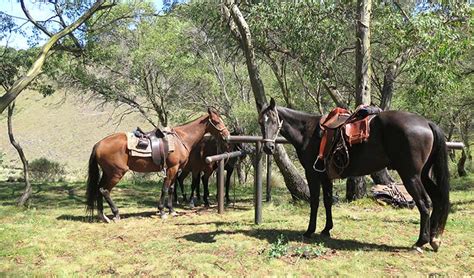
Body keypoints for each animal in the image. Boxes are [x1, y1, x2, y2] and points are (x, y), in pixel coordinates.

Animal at [88, 108, 231, 222]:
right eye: (217, 122)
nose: (227, 135)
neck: (180, 139)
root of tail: (98, 144)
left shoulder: (176, 169)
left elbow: (172, 189)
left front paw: (172, 210)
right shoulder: (172, 168)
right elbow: (165, 189)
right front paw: (162, 211)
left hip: (108, 173)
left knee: (98, 189)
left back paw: (103, 216)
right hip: (116, 173)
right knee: (104, 190)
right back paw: (116, 214)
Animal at [262, 97, 450, 252]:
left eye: (274, 120)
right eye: (260, 121)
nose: (268, 147)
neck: (308, 131)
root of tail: (426, 123)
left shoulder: (312, 174)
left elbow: (315, 202)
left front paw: (310, 230)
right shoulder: (325, 177)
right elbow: (328, 201)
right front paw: (327, 229)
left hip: (411, 176)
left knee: (425, 203)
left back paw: (420, 242)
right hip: (422, 175)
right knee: (438, 200)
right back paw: (434, 239)